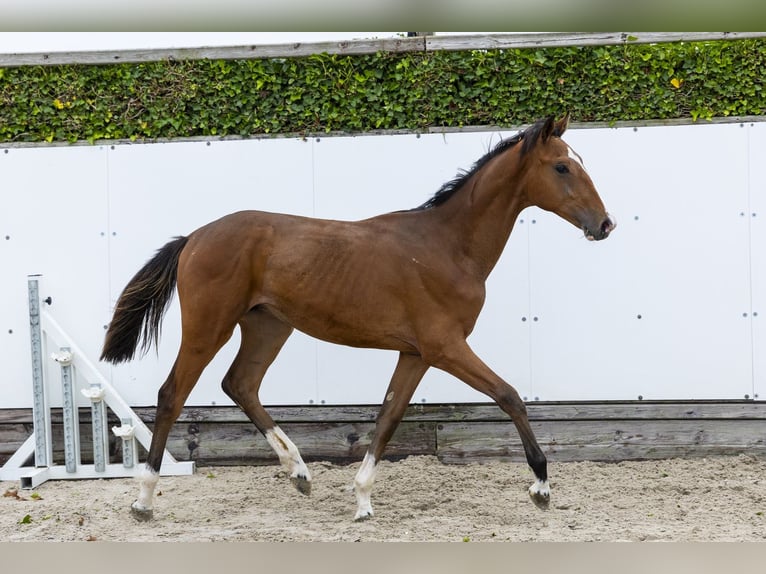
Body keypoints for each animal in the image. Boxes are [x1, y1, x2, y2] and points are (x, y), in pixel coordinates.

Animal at [100, 114, 615, 522]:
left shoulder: (416, 353)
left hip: (269, 326)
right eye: (563, 166)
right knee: (172, 395)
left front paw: (363, 501)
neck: (449, 246)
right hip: (209, 327)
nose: (605, 224)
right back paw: (144, 500)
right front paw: (541, 487)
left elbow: (388, 415)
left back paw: (299, 472)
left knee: (240, 384)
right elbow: (510, 396)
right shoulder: (446, 346)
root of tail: (194, 237)